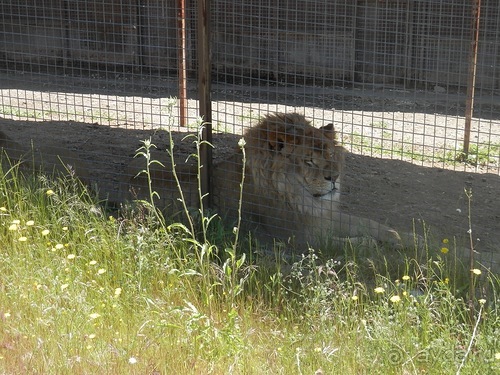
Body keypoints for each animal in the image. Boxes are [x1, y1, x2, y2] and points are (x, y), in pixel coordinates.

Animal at [125, 113, 418, 251]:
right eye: (309, 161)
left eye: (330, 155)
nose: (333, 178)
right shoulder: (298, 236)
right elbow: (346, 242)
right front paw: (370, 245)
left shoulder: (321, 215)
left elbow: (372, 224)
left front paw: (410, 239)